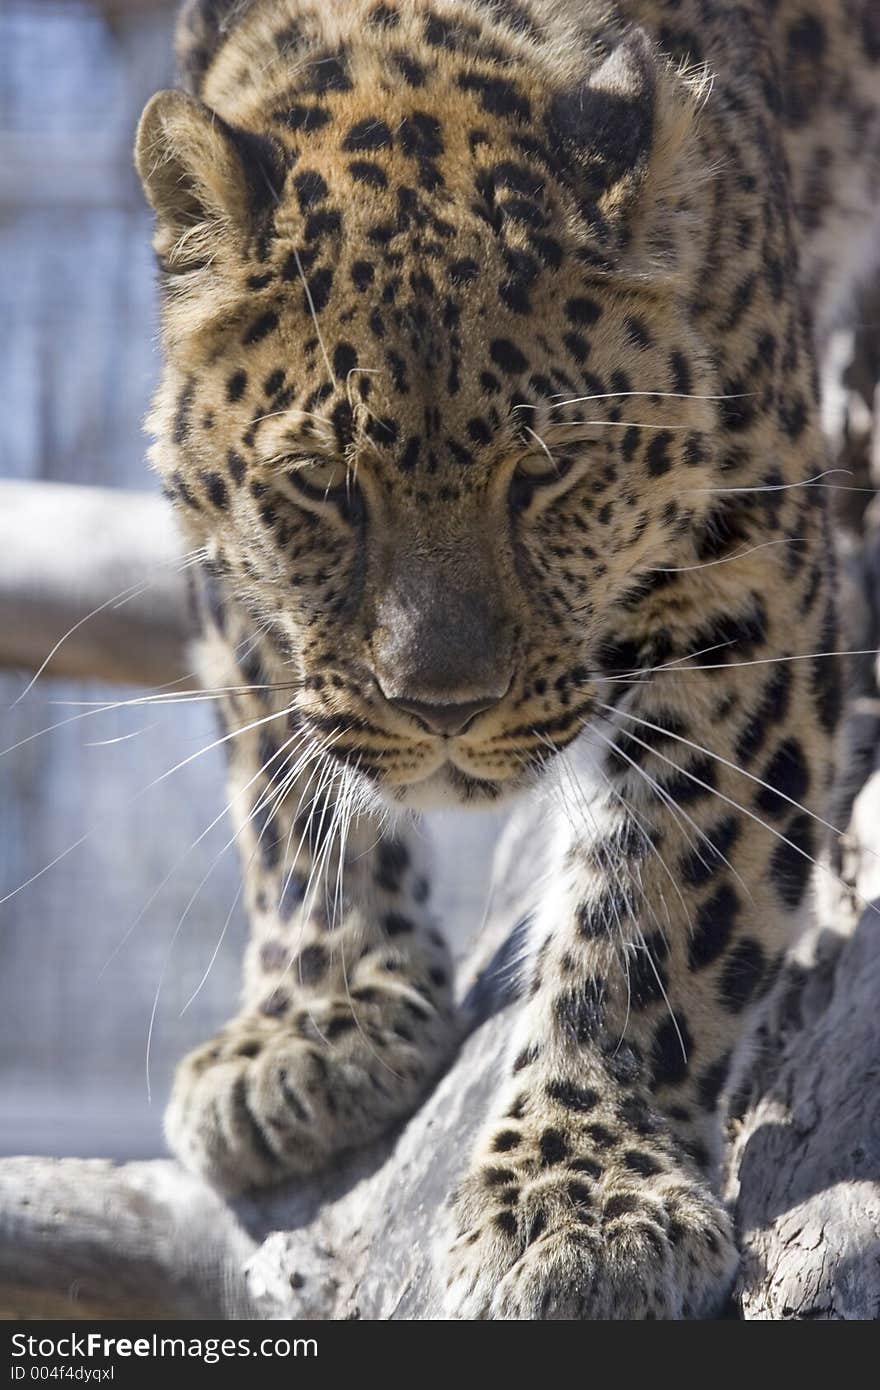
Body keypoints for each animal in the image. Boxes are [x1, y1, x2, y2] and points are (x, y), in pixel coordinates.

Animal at [135, 0, 878, 1317]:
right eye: (321, 487)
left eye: (548, 470)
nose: (444, 707)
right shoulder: (235, 574)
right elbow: (283, 769)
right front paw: (311, 1022)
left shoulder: (749, 582)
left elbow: (657, 912)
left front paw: (584, 1196)